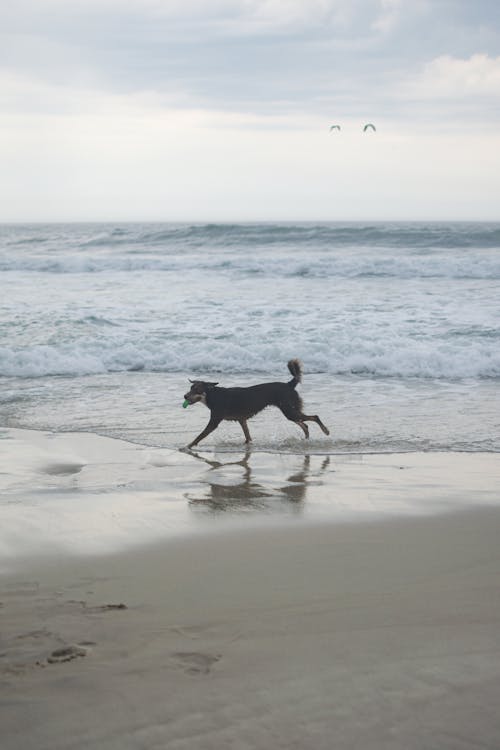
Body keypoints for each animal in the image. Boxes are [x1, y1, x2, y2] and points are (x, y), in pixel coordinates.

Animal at [183, 360, 328, 450]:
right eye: (190, 388)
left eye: (196, 390)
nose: (185, 396)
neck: (212, 395)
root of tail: (289, 384)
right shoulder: (242, 420)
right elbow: (247, 435)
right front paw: (247, 445)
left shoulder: (214, 421)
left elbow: (200, 435)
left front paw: (187, 446)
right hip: (290, 410)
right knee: (305, 424)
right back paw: (306, 439)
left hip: (289, 410)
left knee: (314, 417)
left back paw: (325, 431)